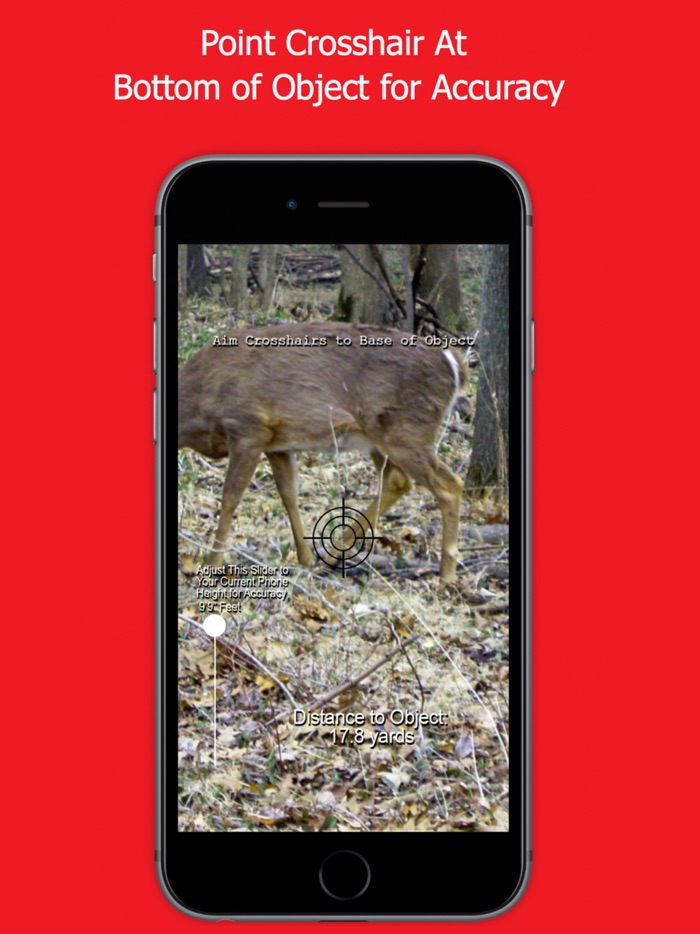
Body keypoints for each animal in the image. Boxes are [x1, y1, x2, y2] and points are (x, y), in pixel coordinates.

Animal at [177, 322, 466, 582]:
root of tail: (453, 363)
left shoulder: (248, 429)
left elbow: (229, 498)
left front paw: (212, 564)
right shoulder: (277, 443)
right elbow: (289, 494)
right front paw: (305, 559)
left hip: (405, 428)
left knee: (449, 484)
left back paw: (447, 575)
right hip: (379, 435)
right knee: (397, 480)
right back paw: (333, 551)